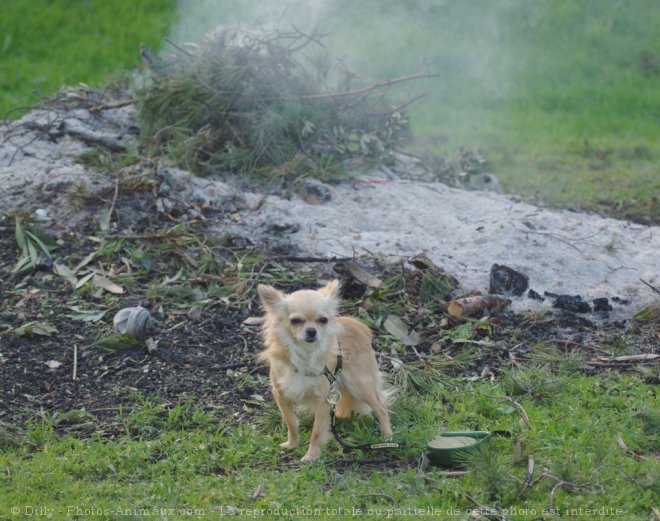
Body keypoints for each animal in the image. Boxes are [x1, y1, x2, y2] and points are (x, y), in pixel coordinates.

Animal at [258, 280, 392, 460]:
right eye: (295, 321)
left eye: (323, 320)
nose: (311, 331)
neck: (305, 353)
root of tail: (360, 327)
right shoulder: (281, 394)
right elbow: (292, 423)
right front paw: (292, 444)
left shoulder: (323, 400)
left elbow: (317, 432)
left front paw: (311, 456)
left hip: (360, 385)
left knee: (380, 407)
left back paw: (388, 437)